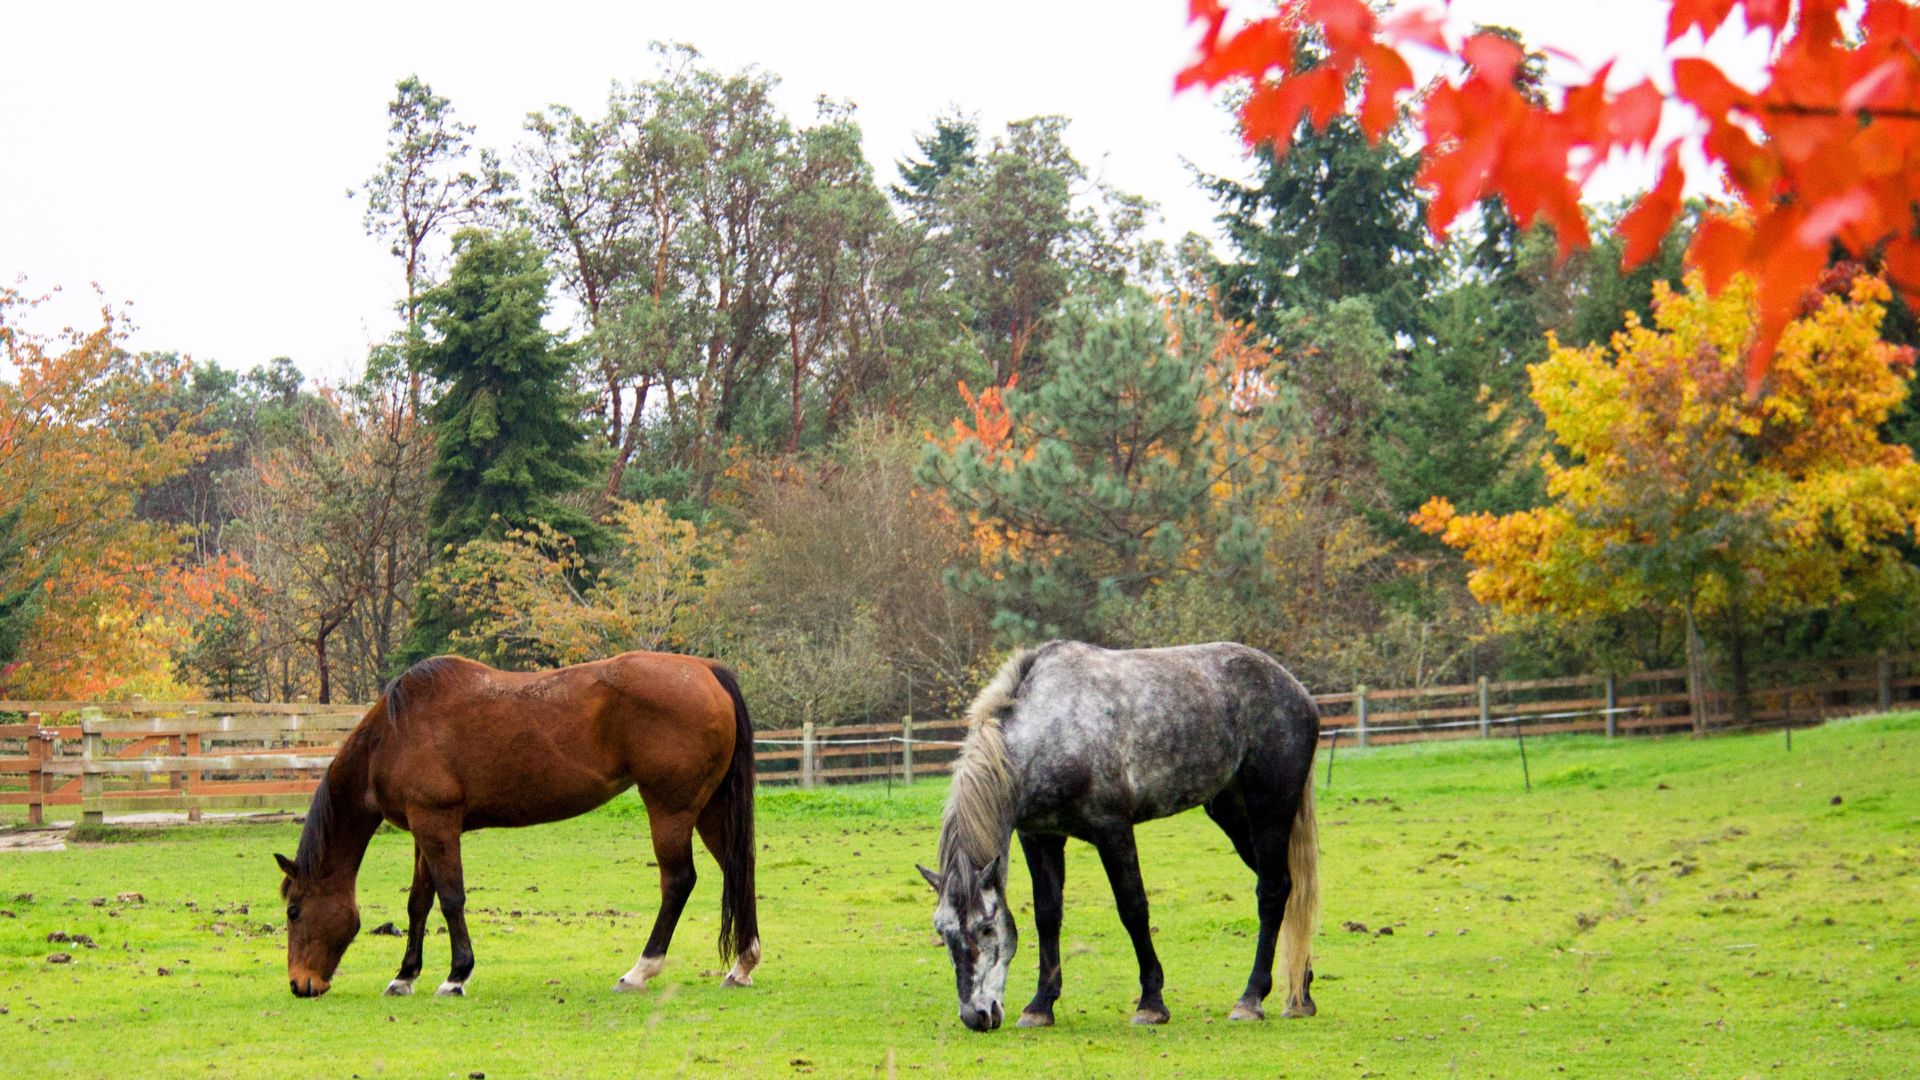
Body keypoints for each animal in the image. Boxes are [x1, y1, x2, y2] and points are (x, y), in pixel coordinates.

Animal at [274, 652, 760, 999]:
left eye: (294, 911)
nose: (300, 984)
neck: (394, 735)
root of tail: (705, 670)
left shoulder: (437, 823)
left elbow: (451, 898)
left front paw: (456, 976)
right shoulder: (423, 828)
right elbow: (419, 902)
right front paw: (405, 976)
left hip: (670, 809)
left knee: (678, 881)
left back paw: (639, 971)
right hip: (710, 809)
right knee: (739, 871)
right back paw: (742, 966)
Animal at [917, 640, 1320, 1032]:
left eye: (986, 927)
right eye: (942, 931)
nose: (977, 1016)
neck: (1050, 728)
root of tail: (1296, 691)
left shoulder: (1112, 829)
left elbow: (1133, 908)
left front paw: (1151, 1004)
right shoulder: (1039, 836)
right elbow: (1047, 915)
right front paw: (1040, 1006)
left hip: (1269, 809)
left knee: (1272, 891)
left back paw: (1251, 1000)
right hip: (1231, 813)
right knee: (1286, 886)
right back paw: (1300, 991)